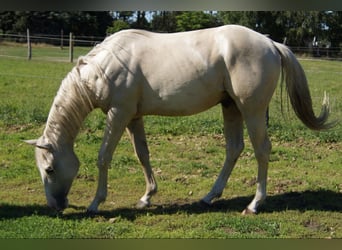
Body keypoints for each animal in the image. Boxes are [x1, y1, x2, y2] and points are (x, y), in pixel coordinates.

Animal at [25, 24, 332, 214]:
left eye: (50, 169)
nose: (56, 206)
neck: (103, 67)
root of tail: (270, 43)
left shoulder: (118, 113)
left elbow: (104, 156)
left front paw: (95, 203)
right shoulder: (133, 117)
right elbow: (142, 155)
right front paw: (147, 197)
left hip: (251, 110)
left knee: (262, 150)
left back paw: (254, 204)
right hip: (231, 107)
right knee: (234, 149)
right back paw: (209, 197)